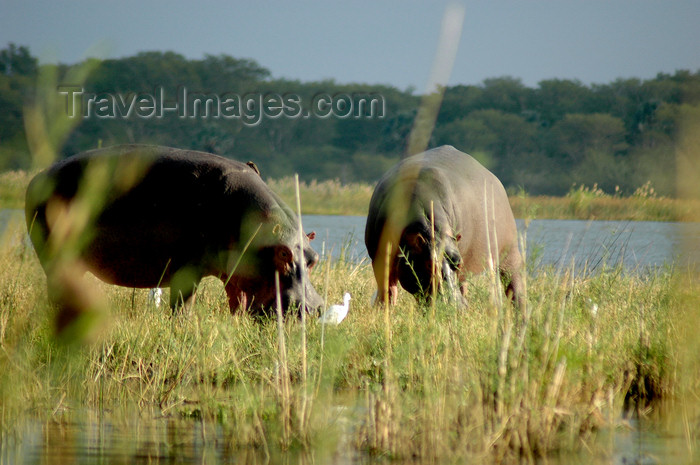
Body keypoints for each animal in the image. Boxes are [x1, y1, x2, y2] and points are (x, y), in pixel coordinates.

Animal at [23, 143, 326, 314]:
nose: (315, 308)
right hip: (55, 258)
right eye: (283, 255)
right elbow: (183, 305)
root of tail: (36, 178)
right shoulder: (186, 268)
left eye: (314, 259)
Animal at [364, 143, 524, 306]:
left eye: (458, 262)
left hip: (510, 251)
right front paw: (382, 308)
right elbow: (387, 290)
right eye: (429, 264)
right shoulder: (379, 258)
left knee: (515, 286)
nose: (456, 305)